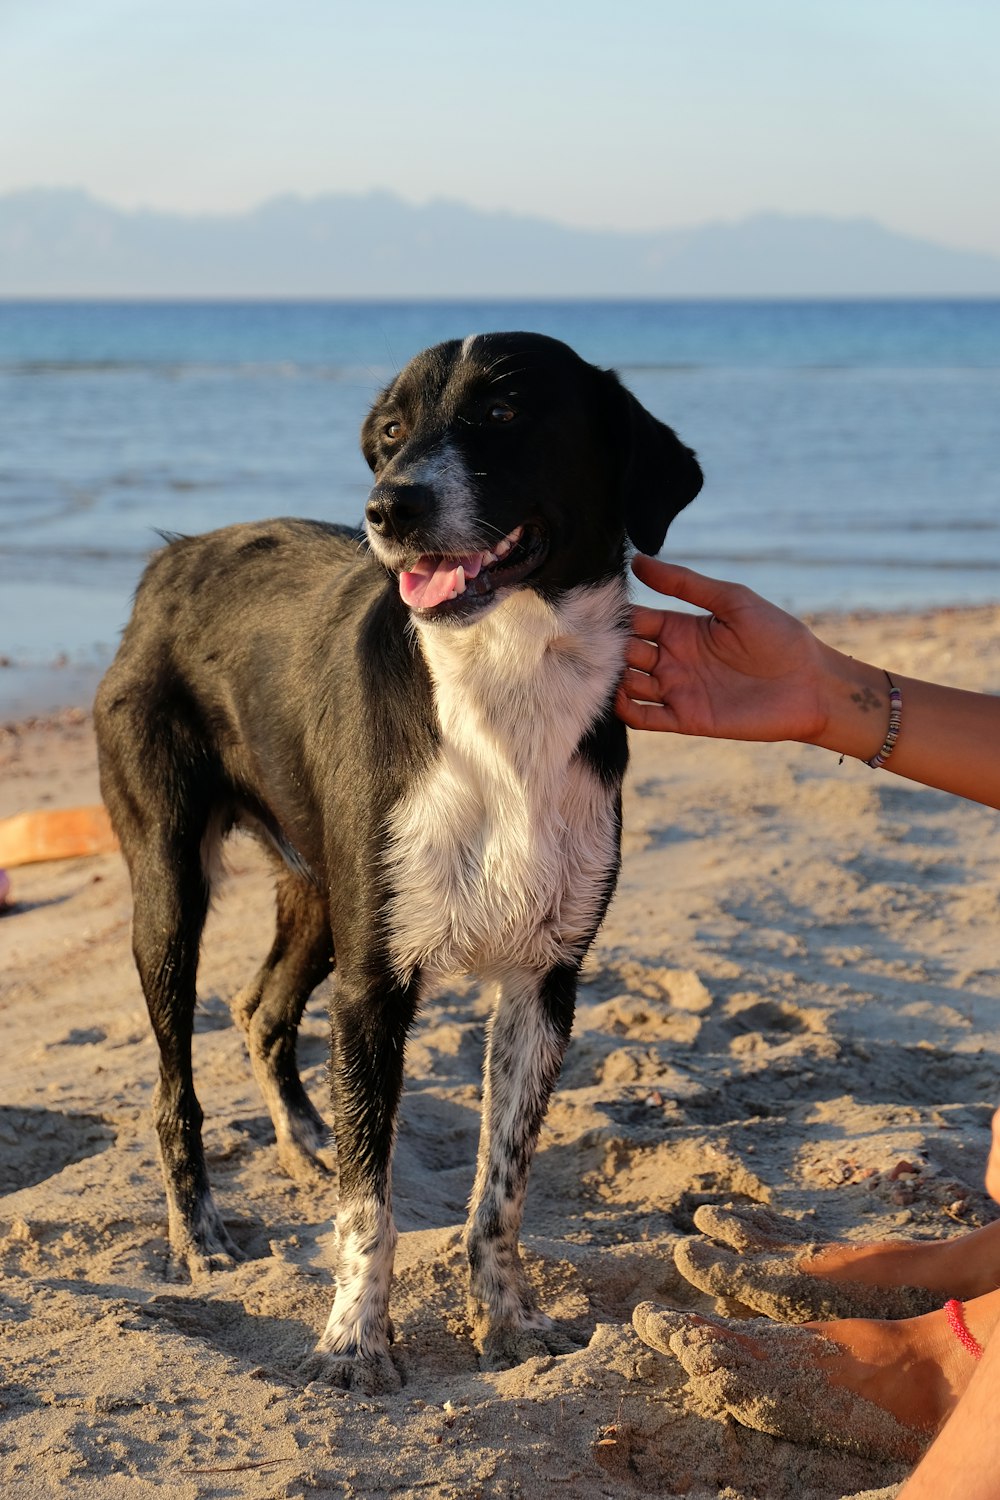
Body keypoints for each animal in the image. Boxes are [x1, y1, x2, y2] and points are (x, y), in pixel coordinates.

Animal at [95, 334, 704, 1386]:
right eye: (388, 433)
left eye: (503, 414)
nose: (389, 508)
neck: (502, 681)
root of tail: (175, 557)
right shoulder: (375, 983)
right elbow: (367, 1205)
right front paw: (351, 1342)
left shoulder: (546, 980)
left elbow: (499, 1188)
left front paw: (507, 1321)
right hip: (173, 886)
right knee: (176, 1086)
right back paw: (200, 1234)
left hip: (321, 890)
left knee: (262, 1010)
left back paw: (306, 1138)